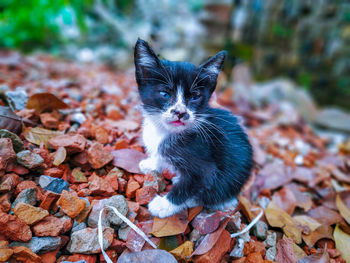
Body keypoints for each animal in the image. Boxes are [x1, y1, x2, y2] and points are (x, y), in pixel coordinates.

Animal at [135, 37, 253, 219]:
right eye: (164, 94)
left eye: (194, 97)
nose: (180, 112)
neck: (166, 132)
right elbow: (159, 156)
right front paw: (152, 163)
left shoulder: (206, 168)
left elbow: (190, 185)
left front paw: (163, 205)